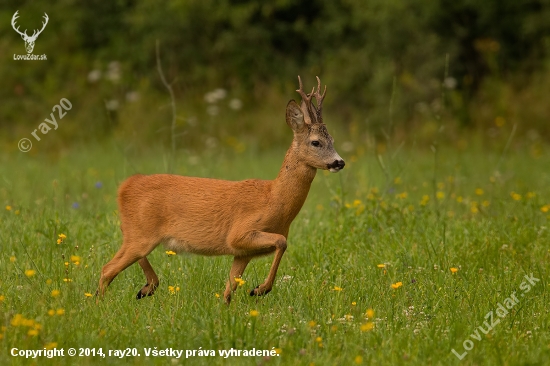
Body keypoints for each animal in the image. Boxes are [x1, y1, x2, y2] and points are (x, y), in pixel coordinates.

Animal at [96, 75, 344, 304]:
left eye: (332, 139)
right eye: (316, 142)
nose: (339, 162)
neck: (274, 199)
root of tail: (126, 186)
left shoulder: (243, 253)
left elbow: (229, 289)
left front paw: (233, 304)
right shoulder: (240, 233)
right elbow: (282, 242)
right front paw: (259, 289)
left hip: (138, 233)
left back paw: (146, 287)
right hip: (142, 234)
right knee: (107, 269)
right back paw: (102, 304)